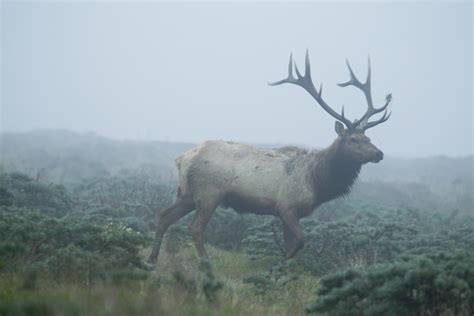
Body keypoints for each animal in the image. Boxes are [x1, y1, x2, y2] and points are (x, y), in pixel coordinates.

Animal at [148, 51, 392, 264]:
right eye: (354, 139)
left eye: (368, 137)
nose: (379, 154)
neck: (317, 182)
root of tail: (182, 159)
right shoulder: (287, 207)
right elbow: (300, 241)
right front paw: (276, 266)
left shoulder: (290, 213)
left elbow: (290, 244)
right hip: (209, 193)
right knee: (195, 227)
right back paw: (206, 266)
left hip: (186, 193)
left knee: (163, 216)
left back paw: (152, 260)